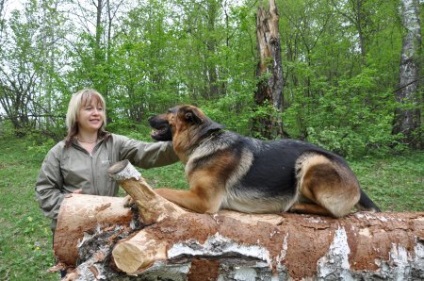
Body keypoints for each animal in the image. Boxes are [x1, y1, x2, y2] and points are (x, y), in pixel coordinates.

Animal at [149, 104, 380, 215]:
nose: (149, 117)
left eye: (168, 111)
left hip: (311, 160)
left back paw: (296, 206)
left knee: (337, 213)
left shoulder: (204, 200)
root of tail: (356, 181)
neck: (203, 140)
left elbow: (162, 190)